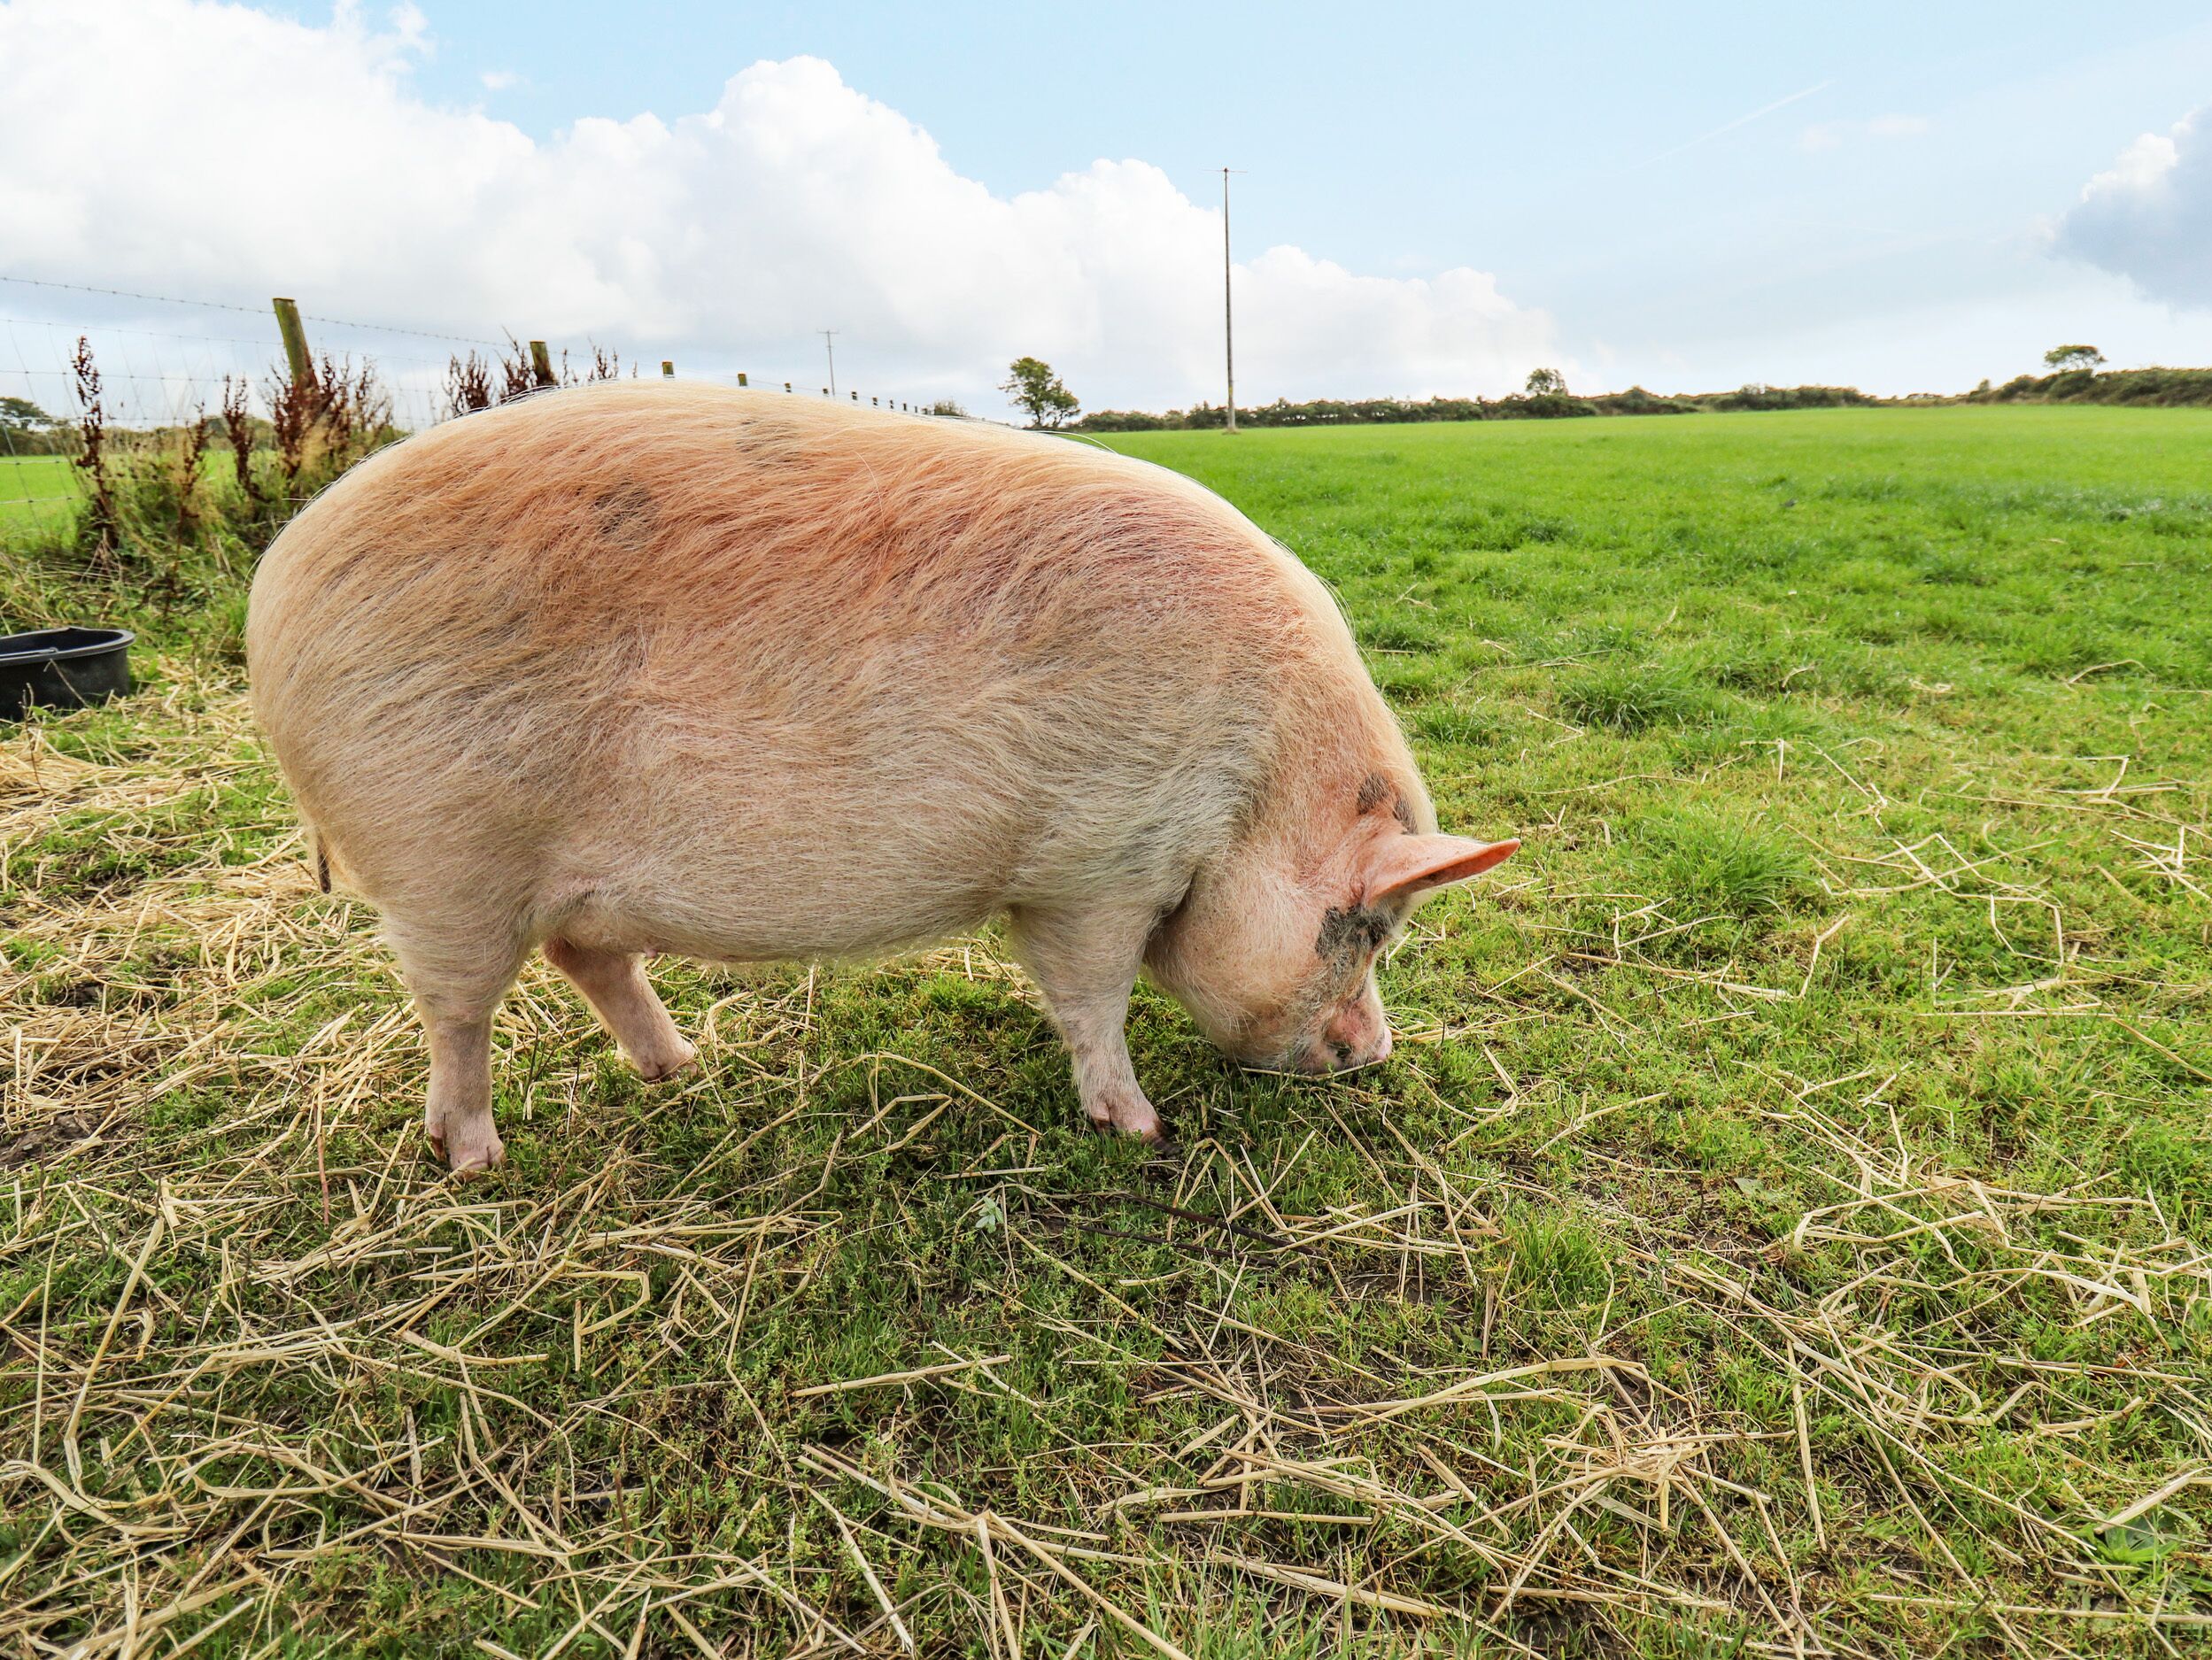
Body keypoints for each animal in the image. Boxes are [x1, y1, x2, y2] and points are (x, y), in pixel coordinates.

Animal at [246, 384, 1516, 1172]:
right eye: (1368, 928)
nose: (1375, 1054)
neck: (1249, 796)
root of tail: (275, 590)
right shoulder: (1094, 866)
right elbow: (1093, 1000)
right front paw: (1141, 1130)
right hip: (441, 858)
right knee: (456, 1014)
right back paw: (476, 1157)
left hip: (551, 879)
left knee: (585, 957)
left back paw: (684, 1069)